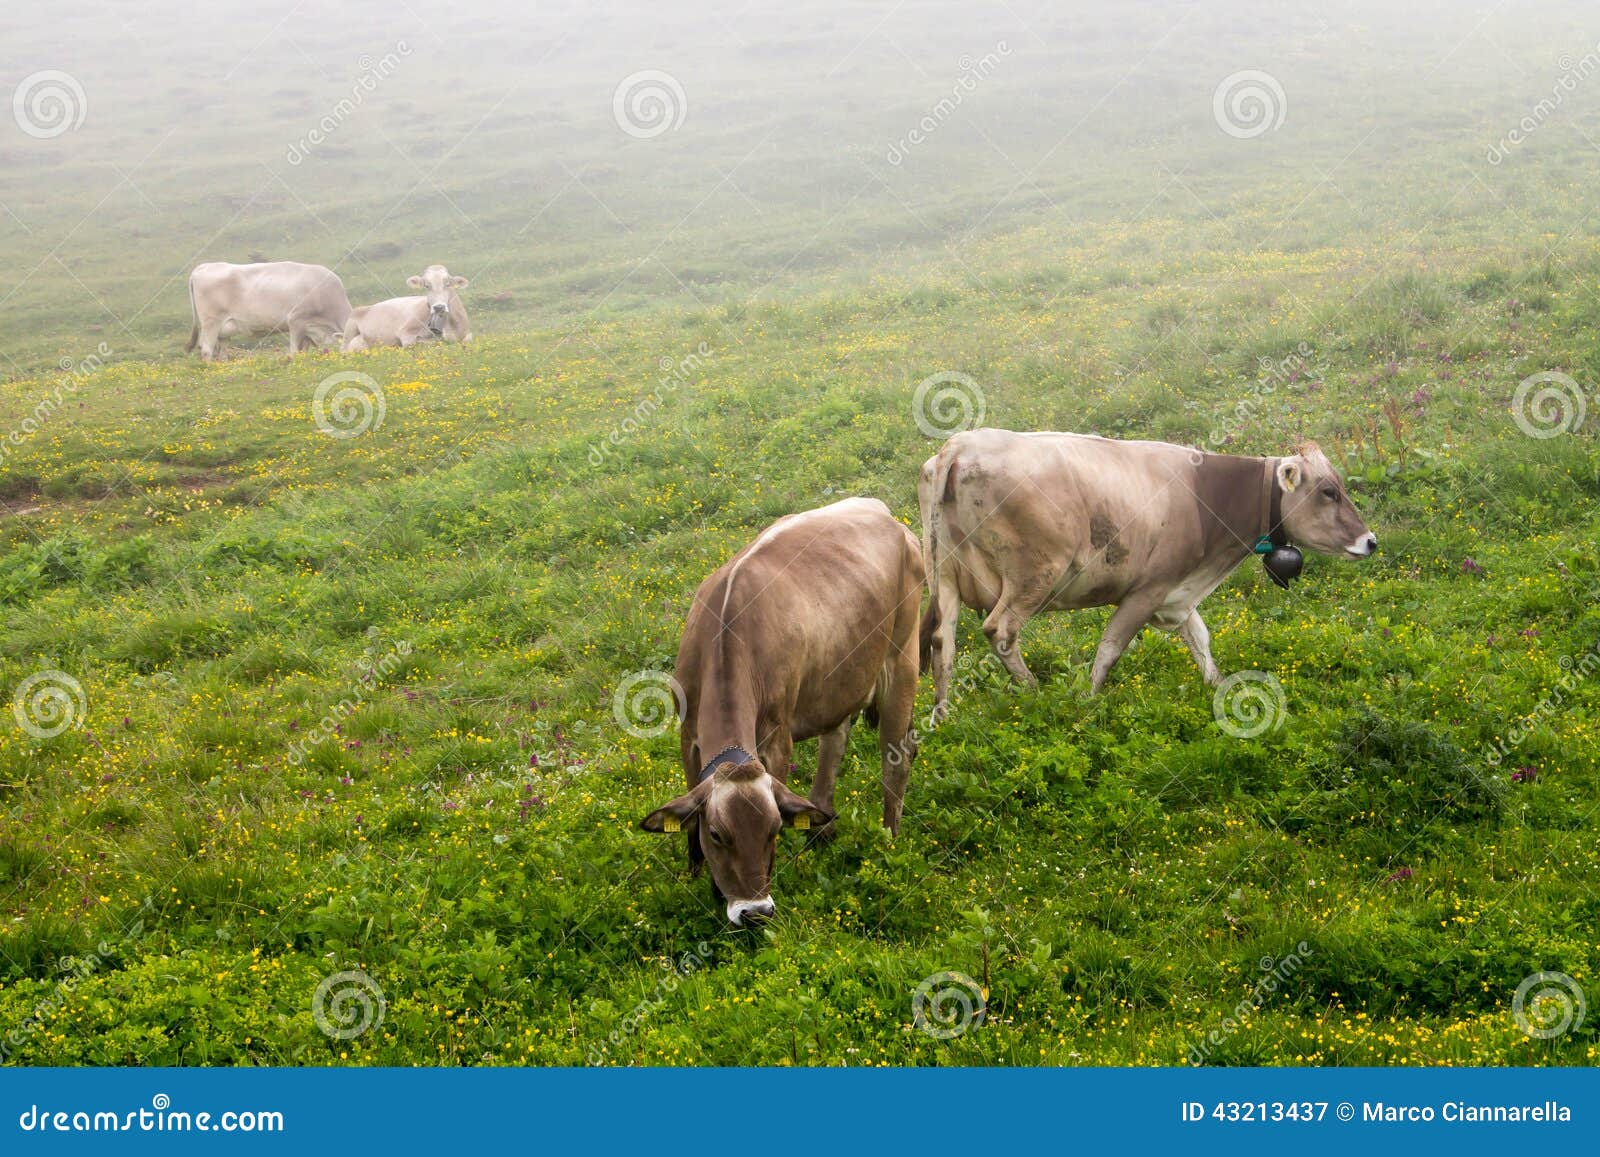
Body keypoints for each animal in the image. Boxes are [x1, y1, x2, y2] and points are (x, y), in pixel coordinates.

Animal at [186, 261, 352, 360]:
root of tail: (203, 267)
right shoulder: (295, 319)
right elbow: (294, 350)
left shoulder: (309, 330)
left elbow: (305, 349)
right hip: (211, 322)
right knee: (206, 349)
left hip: (224, 328)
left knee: (221, 352)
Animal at [341, 265, 471, 351]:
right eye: (426, 286)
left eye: (447, 284)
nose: (439, 307)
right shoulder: (406, 332)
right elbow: (417, 343)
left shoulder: (467, 335)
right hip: (349, 330)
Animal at [639, 497, 925, 926]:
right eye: (718, 834)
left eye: (774, 830)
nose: (754, 912)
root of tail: (882, 512)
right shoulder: (687, 734)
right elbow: (688, 819)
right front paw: (698, 877)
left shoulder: (777, 736)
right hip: (839, 676)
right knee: (835, 740)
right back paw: (822, 827)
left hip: (902, 659)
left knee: (897, 758)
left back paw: (889, 837)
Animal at [918, 429, 1377, 710]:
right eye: (1329, 491)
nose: (1370, 541)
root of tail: (960, 445)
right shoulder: (1149, 589)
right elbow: (1111, 647)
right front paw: (1087, 700)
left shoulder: (1178, 593)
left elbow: (1200, 640)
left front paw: (1217, 686)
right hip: (1033, 574)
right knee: (1001, 630)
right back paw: (1034, 691)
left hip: (944, 575)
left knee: (943, 642)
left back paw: (943, 714)